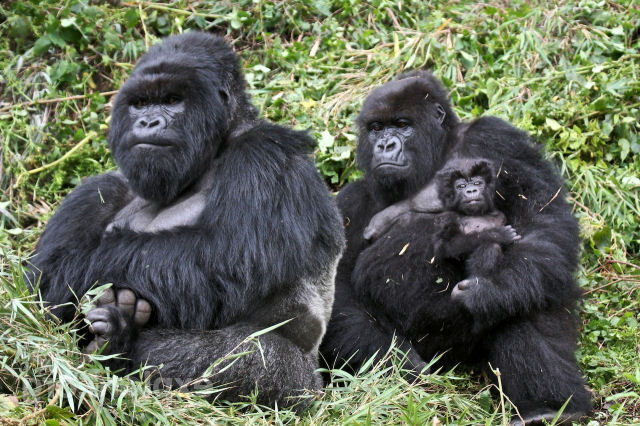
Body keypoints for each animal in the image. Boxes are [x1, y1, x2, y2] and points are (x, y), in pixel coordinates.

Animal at [27, 31, 344, 408]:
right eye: (140, 103)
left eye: (172, 100)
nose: (147, 122)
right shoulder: (96, 190)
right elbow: (36, 284)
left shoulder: (268, 153)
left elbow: (226, 256)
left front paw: (84, 271)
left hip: (307, 386)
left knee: (249, 358)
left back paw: (119, 341)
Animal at [362, 158, 516, 298]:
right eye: (461, 186)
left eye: (477, 183)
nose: (471, 190)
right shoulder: (449, 216)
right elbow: (446, 245)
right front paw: (498, 234)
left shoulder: (500, 215)